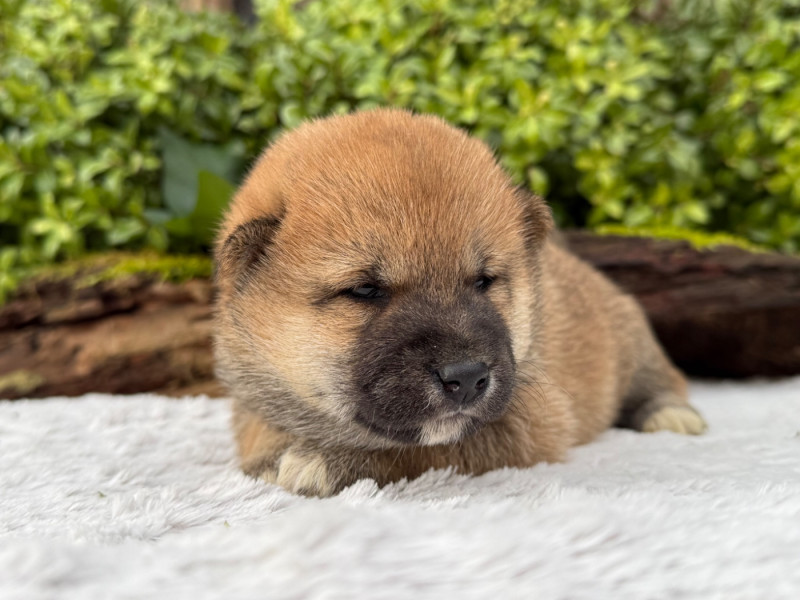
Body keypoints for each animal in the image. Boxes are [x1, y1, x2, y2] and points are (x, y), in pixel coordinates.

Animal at [213, 109, 706, 496]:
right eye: (365, 290)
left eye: (484, 281)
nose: (467, 378)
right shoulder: (253, 404)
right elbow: (262, 430)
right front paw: (276, 455)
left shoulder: (528, 420)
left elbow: (416, 455)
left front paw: (328, 462)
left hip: (633, 341)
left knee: (663, 379)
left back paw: (673, 415)